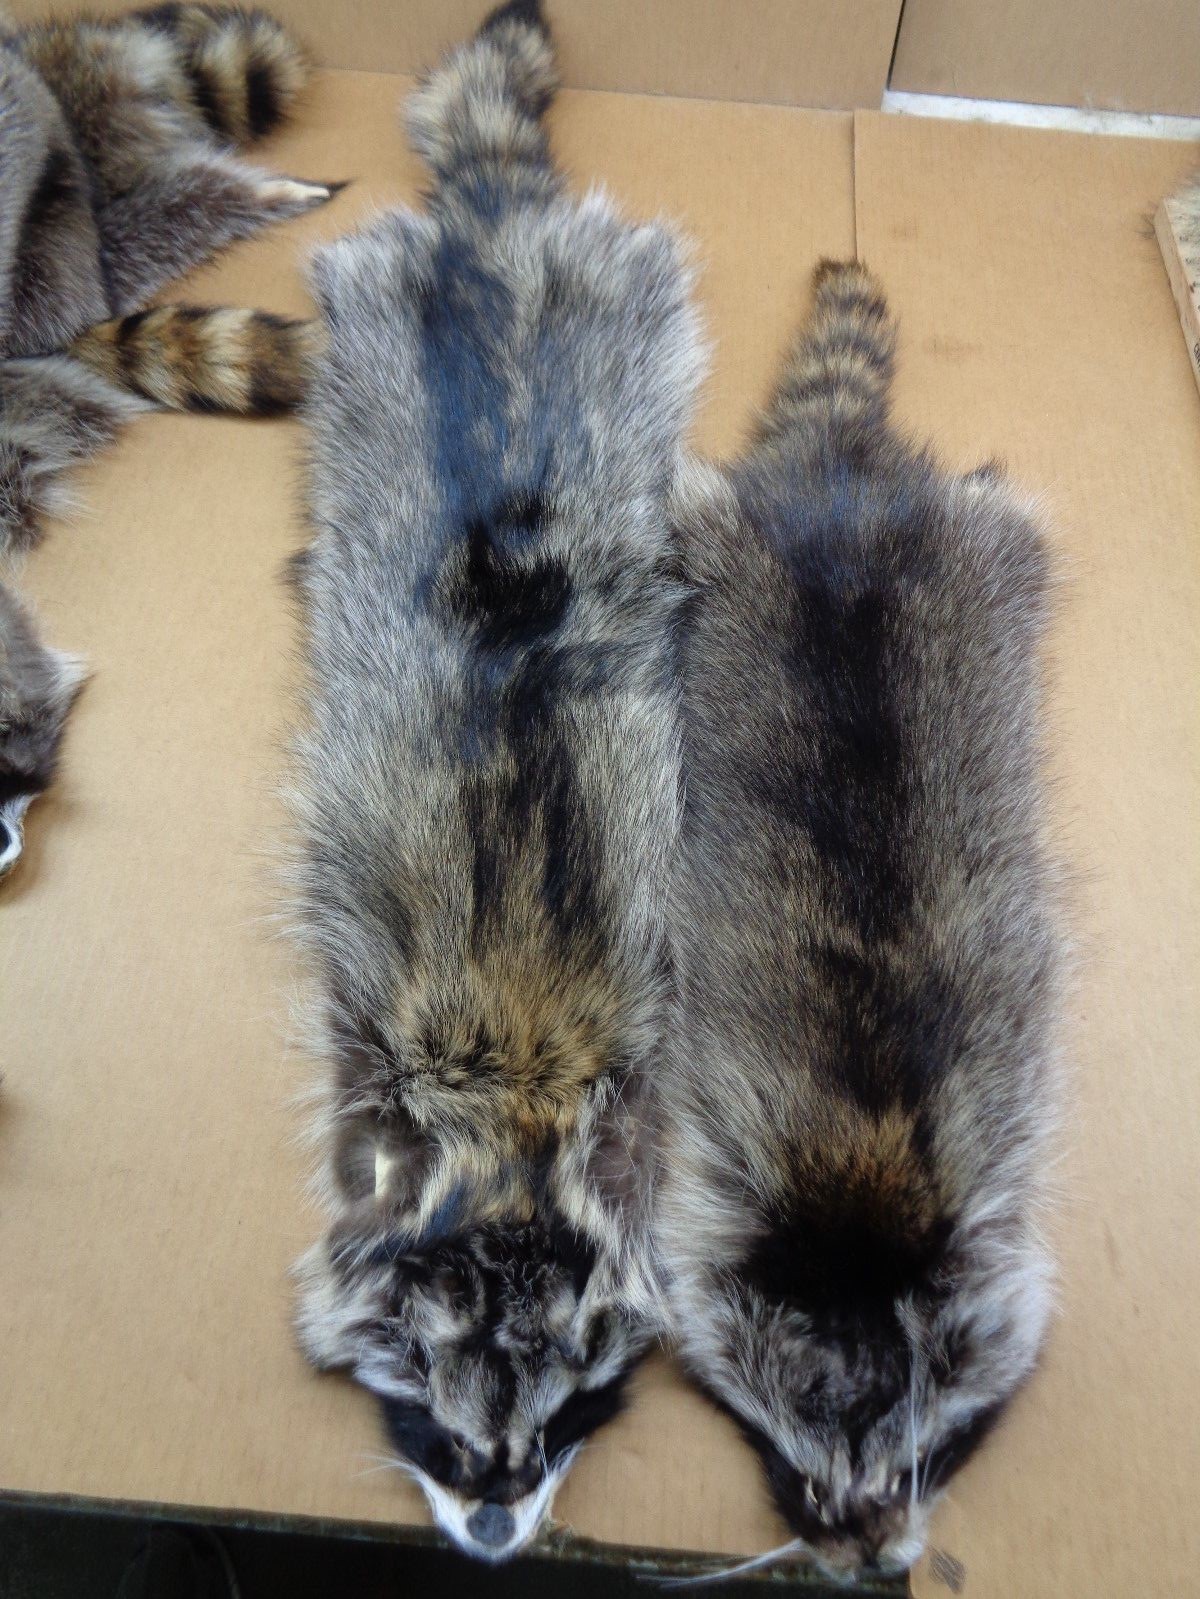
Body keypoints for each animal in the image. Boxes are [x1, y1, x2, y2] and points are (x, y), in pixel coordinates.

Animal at [287, 0, 702, 1564]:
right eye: (436, 1426)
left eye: (560, 1425)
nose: (491, 1530)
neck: (513, 1125)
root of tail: (491, 229)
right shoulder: (367, 1046)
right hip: (366, 331)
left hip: (627, 309)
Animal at [659, 262, 1063, 1580]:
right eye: (800, 1476)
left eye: (930, 1456)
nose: (871, 1562)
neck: (858, 1193)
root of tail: (841, 475)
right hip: (708, 538)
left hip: (979, 545)